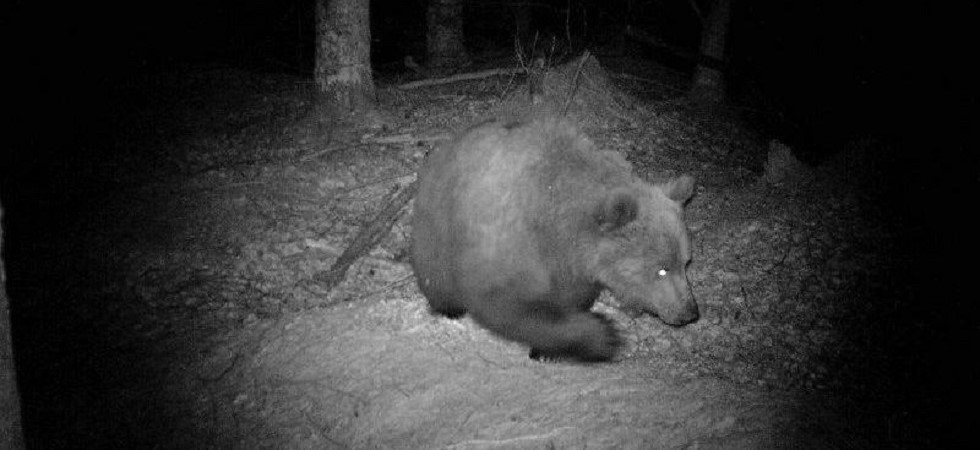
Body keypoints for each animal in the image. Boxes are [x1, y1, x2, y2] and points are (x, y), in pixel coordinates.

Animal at [411, 116, 698, 362]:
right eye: (662, 269)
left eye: (686, 262)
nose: (690, 313)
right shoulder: (510, 238)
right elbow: (504, 301)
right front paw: (599, 336)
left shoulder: (573, 265)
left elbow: (572, 297)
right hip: (441, 218)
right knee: (434, 266)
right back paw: (447, 305)